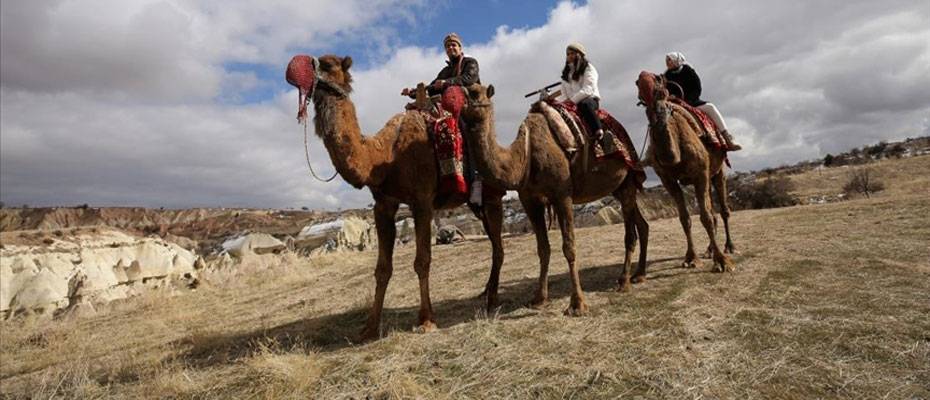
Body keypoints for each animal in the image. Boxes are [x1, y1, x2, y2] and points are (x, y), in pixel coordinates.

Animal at [298, 54, 504, 340]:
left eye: (329, 65)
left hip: (491, 195)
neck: (385, 155)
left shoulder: (422, 201)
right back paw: (486, 291)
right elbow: (382, 269)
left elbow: (422, 261)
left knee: (498, 245)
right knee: (494, 241)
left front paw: (427, 320)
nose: (306, 66)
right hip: (476, 204)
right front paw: (370, 328)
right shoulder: (383, 205)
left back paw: (492, 298)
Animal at [458, 84, 648, 316]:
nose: (462, 106)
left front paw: (577, 304)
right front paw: (539, 299)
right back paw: (639, 275)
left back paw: (624, 281)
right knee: (641, 223)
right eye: (464, 94)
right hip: (618, 188)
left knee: (630, 233)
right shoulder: (530, 201)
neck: (526, 155)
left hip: (628, 178)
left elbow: (569, 247)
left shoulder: (562, 194)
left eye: (476, 93)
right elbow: (543, 249)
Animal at [636, 72, 736, 272]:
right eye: (640, 90)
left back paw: (729, 247)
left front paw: (722, 262)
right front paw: (691, 258)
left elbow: (705, 217)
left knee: (723, 210)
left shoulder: (700, 173)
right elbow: (685, 218)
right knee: (713, 212)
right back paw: (709, 250)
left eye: (660, 84)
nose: (657, 110)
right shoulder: (668, 180)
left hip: (718, 171)